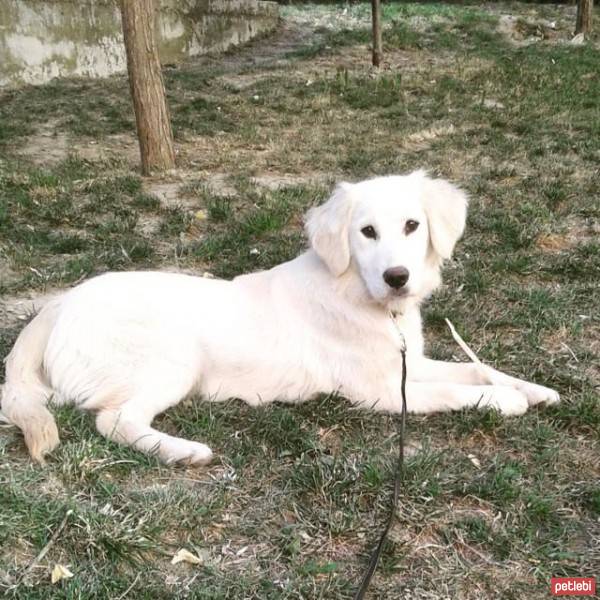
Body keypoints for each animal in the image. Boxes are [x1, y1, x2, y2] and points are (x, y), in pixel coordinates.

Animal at [2, 169, 560, 464]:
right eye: (367, 232)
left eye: (411, 226)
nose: (398, 277)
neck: (365, 300)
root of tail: (56, 305)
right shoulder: (381, 392)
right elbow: (457, 391)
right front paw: (506, 401)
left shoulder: (409, 363)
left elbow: (477, 367)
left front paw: (534, 388)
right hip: (173, 360)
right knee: (113, 420)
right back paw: (183, 450)